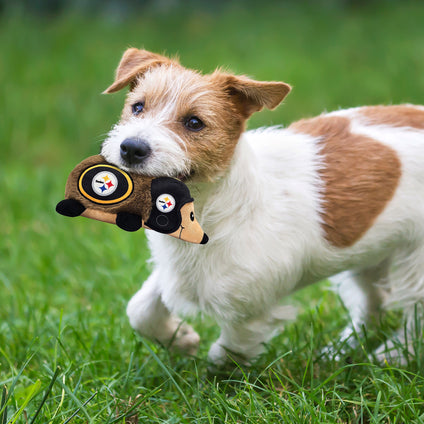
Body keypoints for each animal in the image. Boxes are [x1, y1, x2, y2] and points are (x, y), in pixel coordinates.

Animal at [101, 47, 424, 364]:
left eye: (194, 123)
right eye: (138, 107)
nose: (131, 148)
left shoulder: (250, 310)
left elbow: (227, 353)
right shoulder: (175, 272)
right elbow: (140, 309)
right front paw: (180, 339)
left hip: (414, 263)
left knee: (414, 314)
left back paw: (396, 354)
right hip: (369, 254)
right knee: (373, 303)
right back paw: (341, 352)